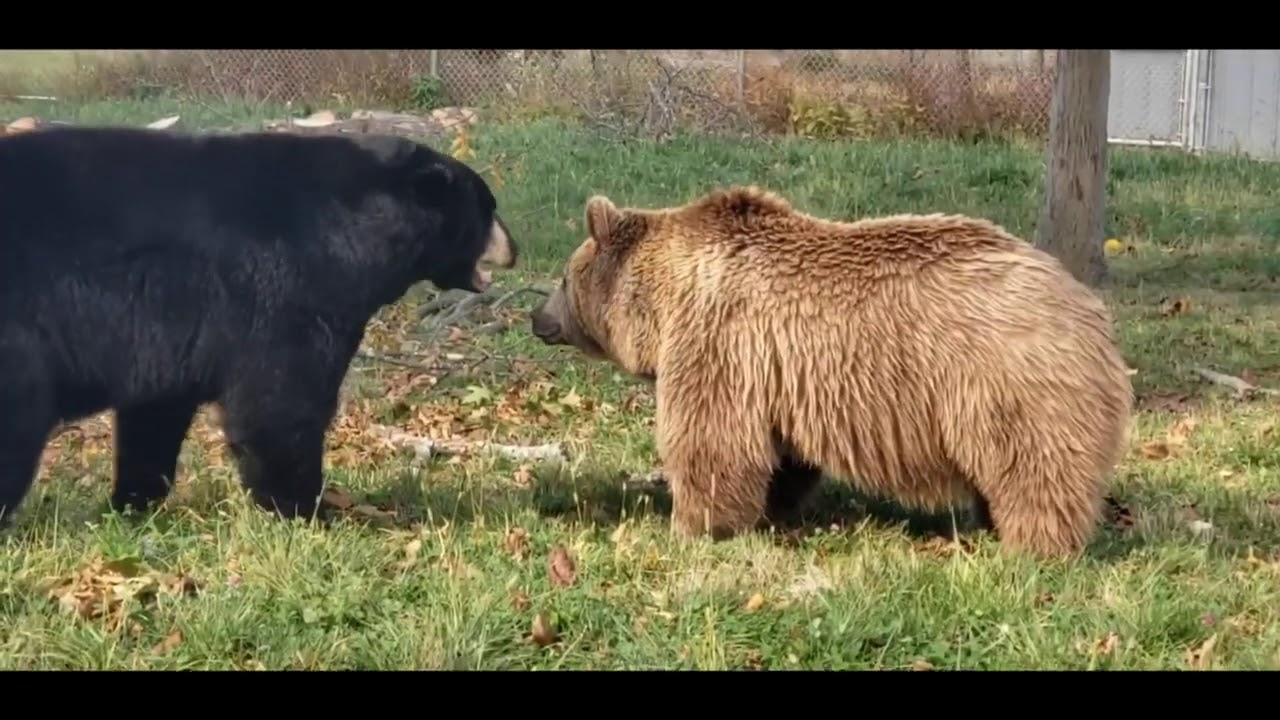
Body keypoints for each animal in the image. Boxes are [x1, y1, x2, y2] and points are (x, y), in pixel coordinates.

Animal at [0, 125, 517, 526]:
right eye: (489, 207)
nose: (514, 248)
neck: (355, 229)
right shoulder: (284, 290)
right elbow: (278, 402)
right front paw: (311, 510)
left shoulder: (169, 334)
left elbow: (157, 409)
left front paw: (131, 503)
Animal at [529, 186, 1134, 559]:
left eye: (562, 278)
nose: (537, 318)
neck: (663, 300)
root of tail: (1091, 312)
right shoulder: (771, 372)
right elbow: (780, 456)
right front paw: (772, 509)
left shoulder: (715, 341)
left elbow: (712, 440)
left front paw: (691, 525)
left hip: (1008, 383)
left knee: (1034, 472)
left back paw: (1032, 546)